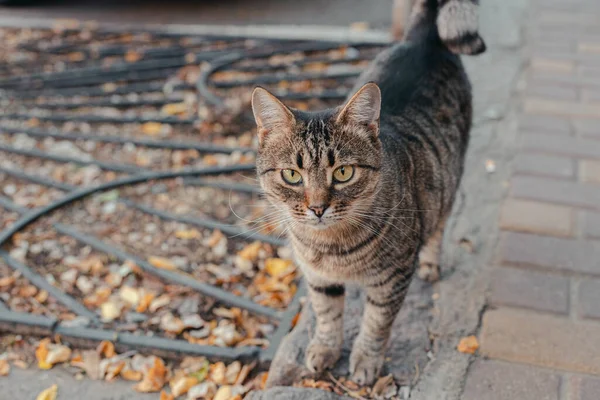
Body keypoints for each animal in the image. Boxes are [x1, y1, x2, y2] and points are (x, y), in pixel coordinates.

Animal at [251, 0, 486, 386]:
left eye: (343, 173)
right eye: (292, 175)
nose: (317, 208)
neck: (330, 247)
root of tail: (422, 38)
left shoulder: (392, 278)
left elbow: (376, 324)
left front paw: (365, 361)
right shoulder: (318, 279)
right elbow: (327, 315)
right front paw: (324, 349)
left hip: (448, 181)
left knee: (439, 225)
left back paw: (431, 263)